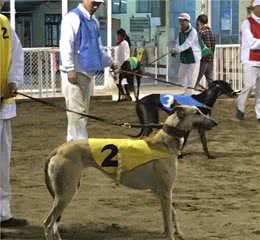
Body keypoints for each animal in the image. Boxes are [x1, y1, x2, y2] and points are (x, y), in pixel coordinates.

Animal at [43, 106, 217, 240]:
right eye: (197, 113)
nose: (215, 122)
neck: (164, 142)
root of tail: (59, 149)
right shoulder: (166, 191)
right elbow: (167, 221)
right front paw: (172, 234)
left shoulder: (160, 191)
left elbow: (172, 213)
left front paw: (179, 232)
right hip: (66, 193)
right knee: (48, 224)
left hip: (67, 189)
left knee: (53, 225)